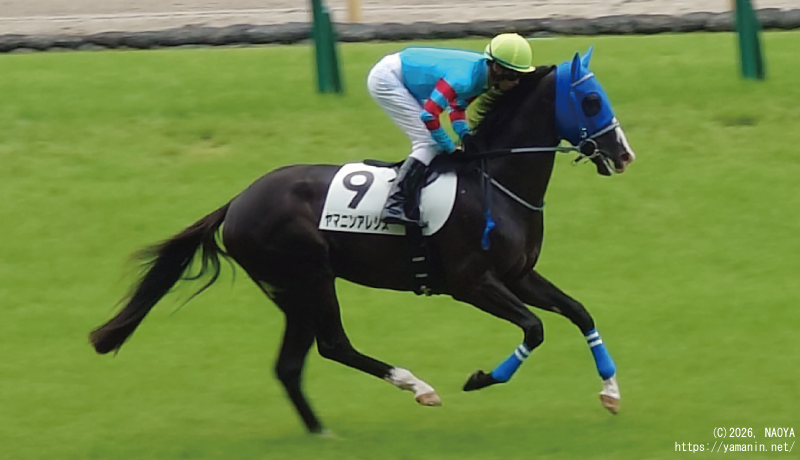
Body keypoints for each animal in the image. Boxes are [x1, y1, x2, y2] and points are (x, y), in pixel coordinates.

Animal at [89, 48, 636, 434]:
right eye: (591, 101)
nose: (623, 154)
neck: (494, 181)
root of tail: (238, 201)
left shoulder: (518, 274)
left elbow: (579, 312)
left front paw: (611, 392)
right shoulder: (471, 283)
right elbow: (534, 329)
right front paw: (481, 378)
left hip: (292, 292)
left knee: (290, 365)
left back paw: (322, 433)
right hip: (308, 277)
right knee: (333, 345)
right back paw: (417, 386)